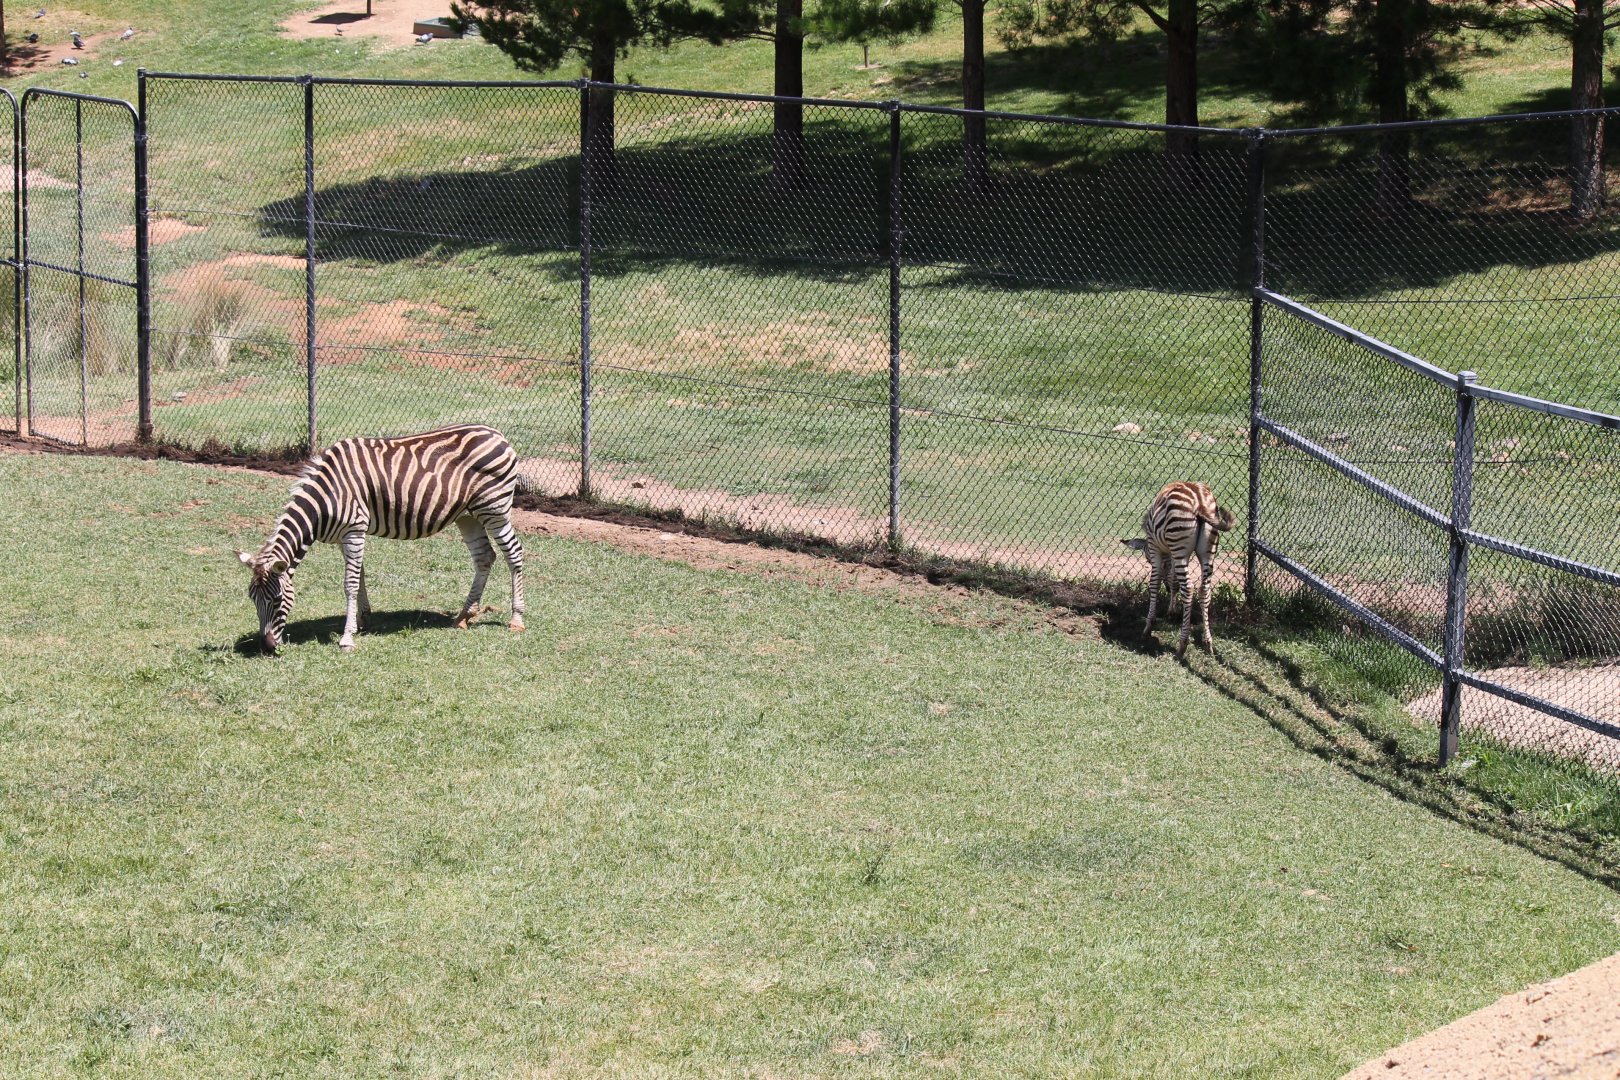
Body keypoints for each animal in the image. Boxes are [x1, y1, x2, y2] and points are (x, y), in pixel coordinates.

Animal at [235, 424, 526, 653]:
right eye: (252, 599)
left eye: (276, 600)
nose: (266, 647)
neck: (325, 500)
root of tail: (497, 434)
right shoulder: (345, 536)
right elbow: (360, 575)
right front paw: (362, 620)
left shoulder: (354, 530)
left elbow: (350, 584)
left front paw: (347, 638)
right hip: (467, 516)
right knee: (484, 557)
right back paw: (464, 616)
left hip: (494, 508)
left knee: (514, 554)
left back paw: (516, 619)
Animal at [1121, 481, 1236, 656]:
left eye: (1147, 559)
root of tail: (1200, 500)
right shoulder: (1175, 556)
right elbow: (1173, 580)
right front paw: (1171, 611)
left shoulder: (1155, 549)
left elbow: (1154, 584)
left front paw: (1148, 627)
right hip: (1207, 551)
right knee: (1204, 590)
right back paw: (1208, 642)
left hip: (1179, 543)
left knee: (1188, 588)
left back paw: (1182, 644)